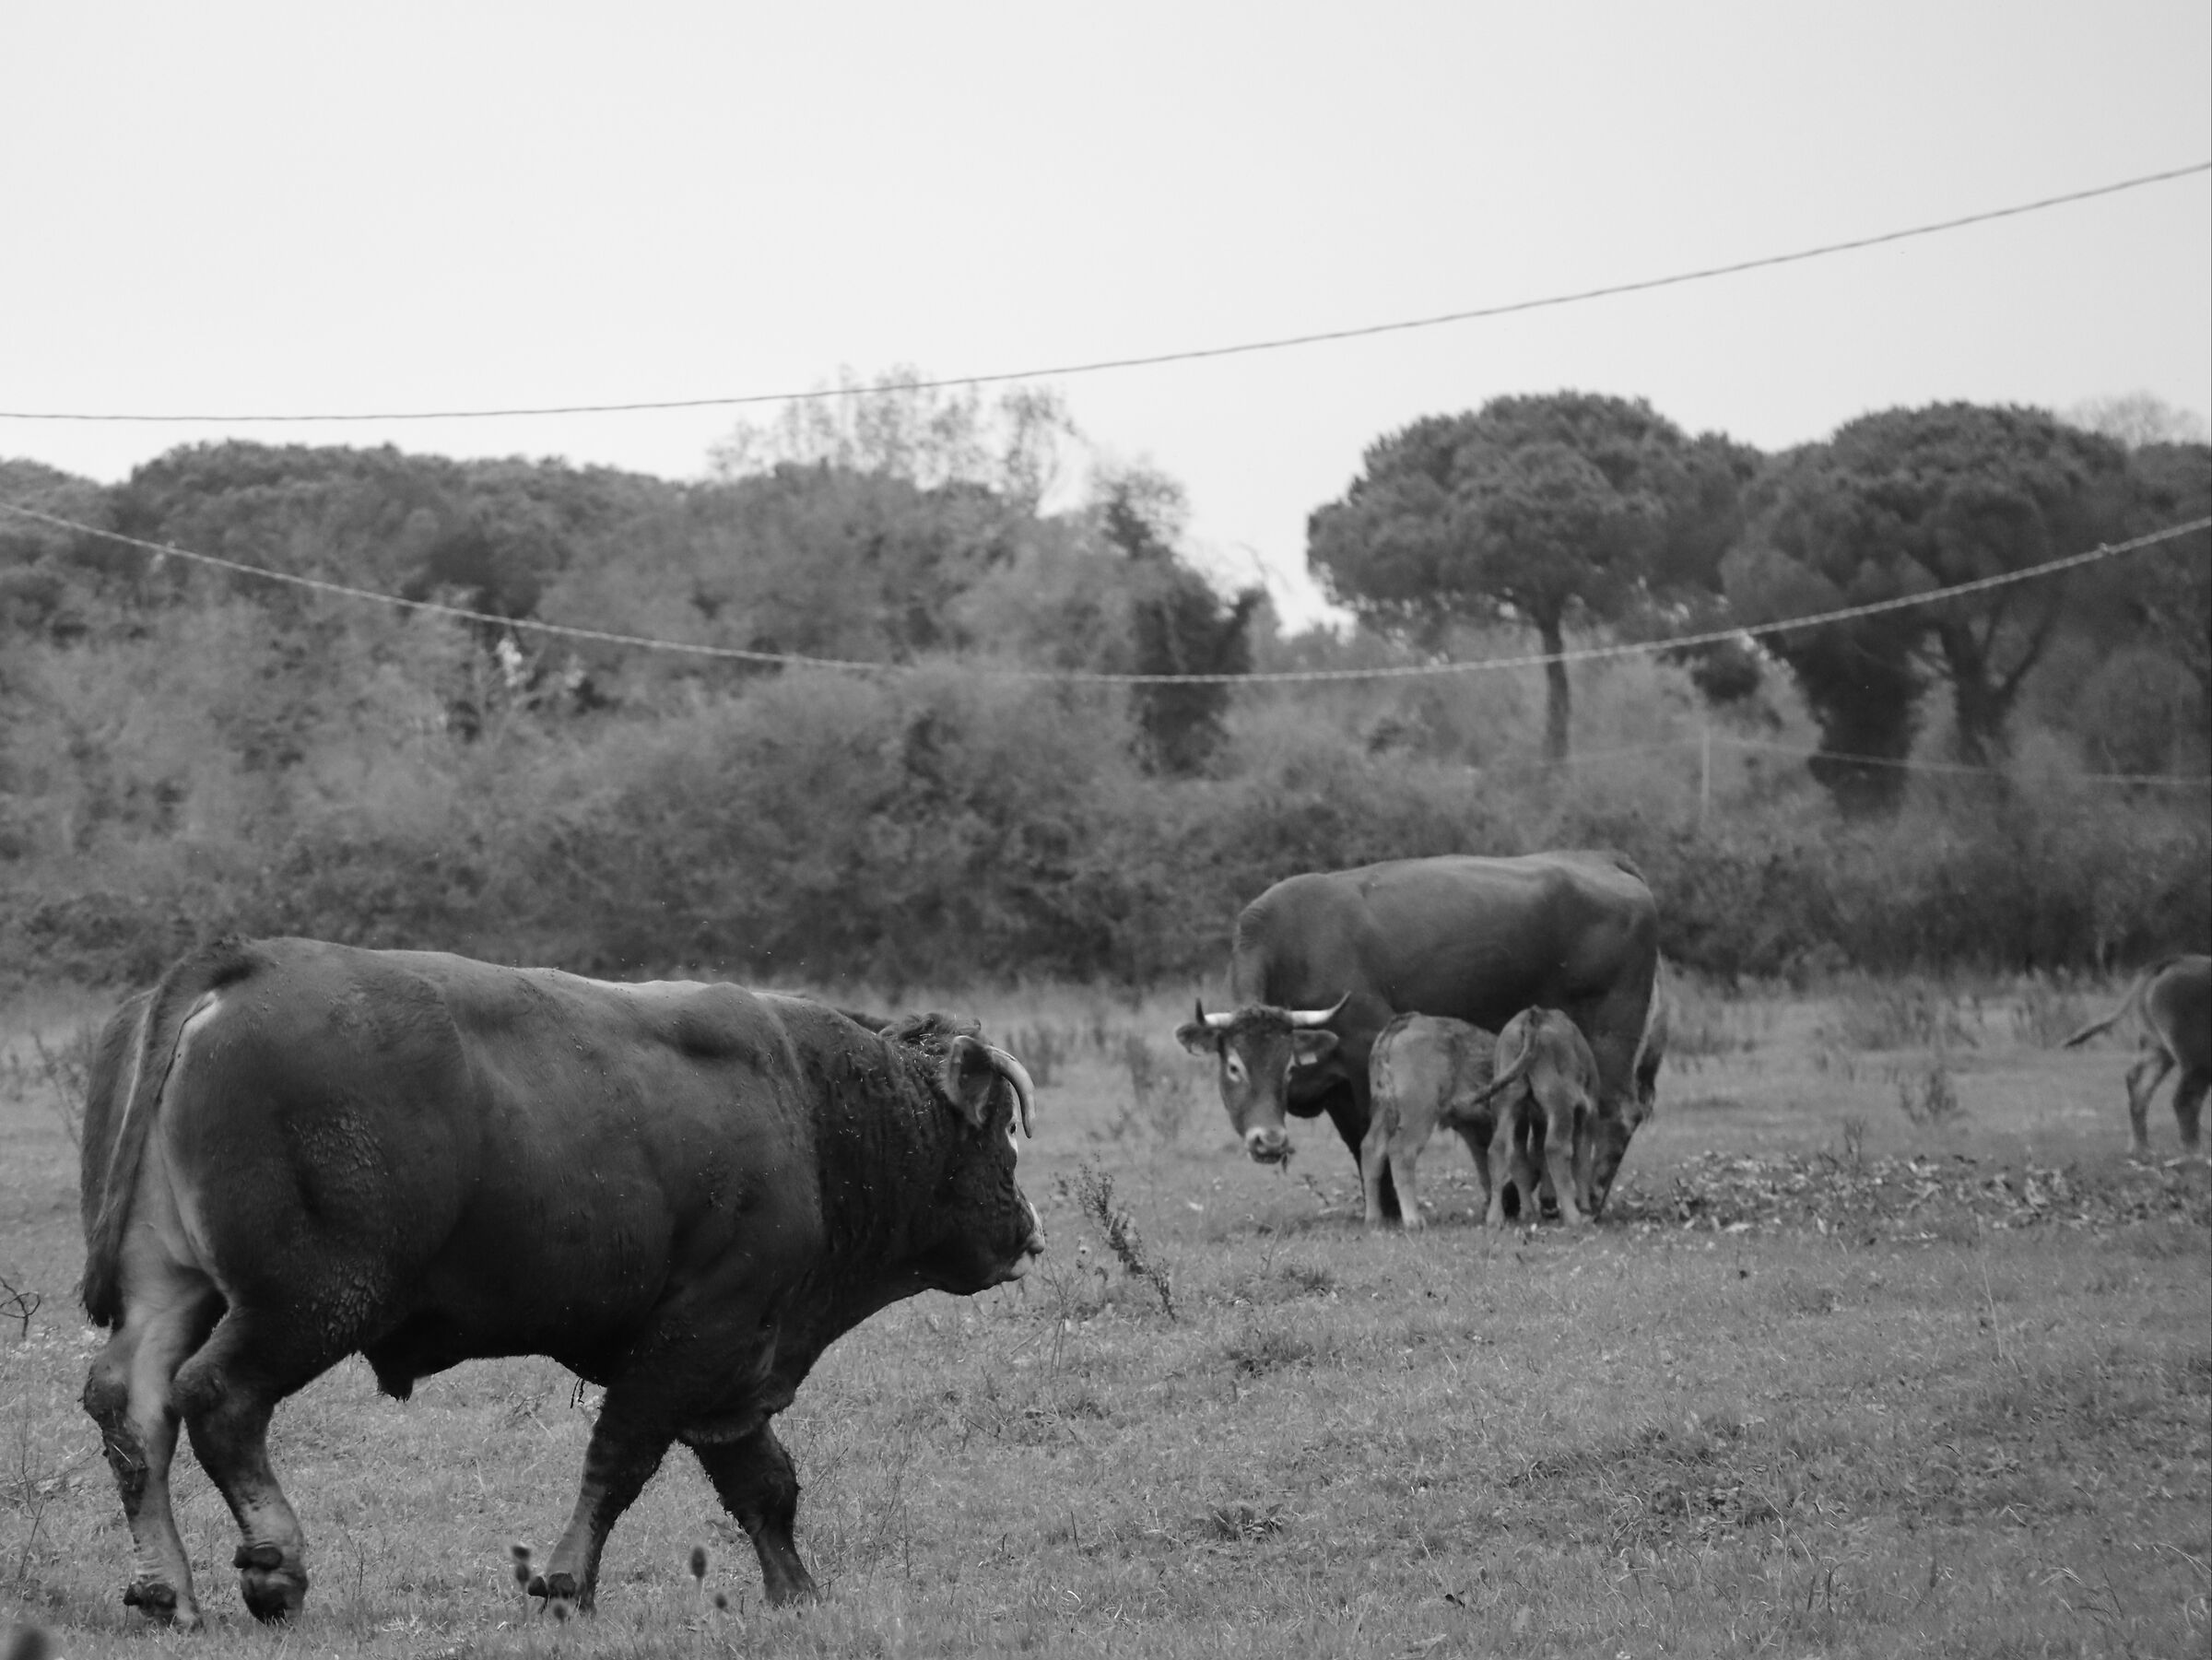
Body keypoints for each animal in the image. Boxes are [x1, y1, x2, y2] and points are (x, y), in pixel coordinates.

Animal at [77, 936, 1042, 1630]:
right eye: (998, 1127)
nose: (1029, 1230)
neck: (807, 1107)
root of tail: (243, 962)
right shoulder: (698, 1336)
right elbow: (621, 1460)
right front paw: (568, 1582)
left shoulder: (734, 1360)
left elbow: (763, 1484)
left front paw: (797, 1591)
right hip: (308, 1305)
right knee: (219, 1396)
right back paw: (276, 1568)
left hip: (174, 1288)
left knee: (133, 1404)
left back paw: (169, 1593)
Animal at [1175, 851, 1660, 1219]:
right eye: (1234, 1066)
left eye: (1287, 1066)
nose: (1270, 1141)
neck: (1296, 945)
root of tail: (1603, 860)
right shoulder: (1334, 1084)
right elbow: (1358, 1140)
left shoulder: (1363, 1053)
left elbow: (1371, 1133)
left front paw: (1389, 1207)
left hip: (1608, 1042)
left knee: (1614, 1114)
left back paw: (1589, 1198)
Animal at [2062, 954, 2211, 1160]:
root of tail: (2169, 961)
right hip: (2197, 1058)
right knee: (2184, 1100)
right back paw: (2196, 1153)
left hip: (2157, 1048)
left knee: (2138, 1085)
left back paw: (2142, 1150)